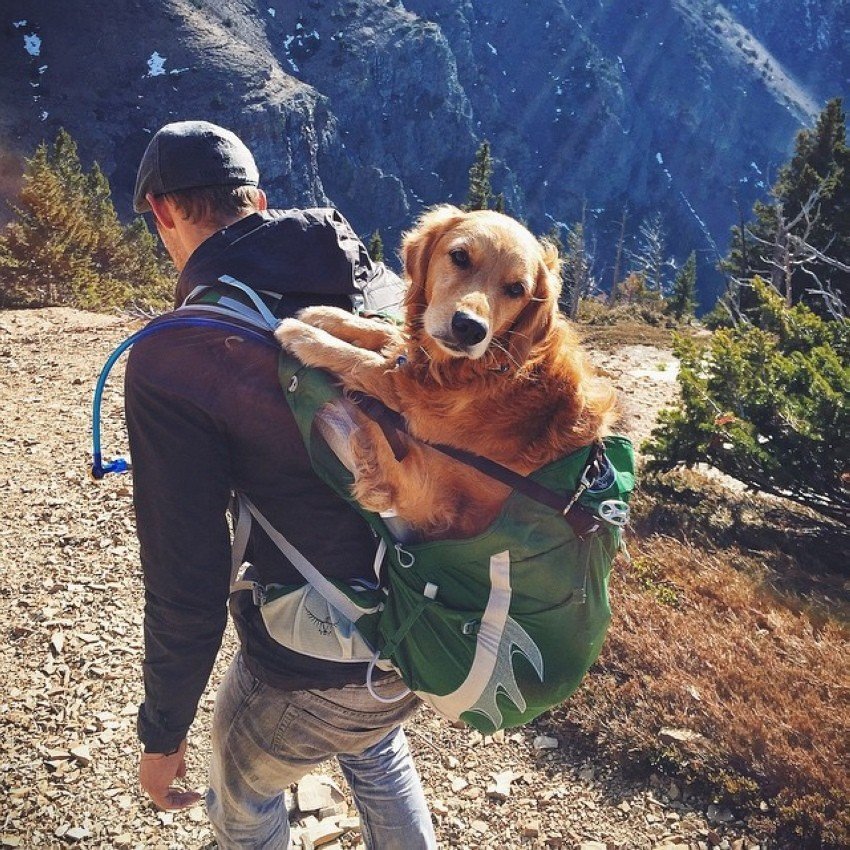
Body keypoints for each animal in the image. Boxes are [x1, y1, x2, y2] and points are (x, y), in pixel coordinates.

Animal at [274, 204, 612, 536]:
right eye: (460, 256)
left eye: (516, 289)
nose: (470, 328)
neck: (487, 370)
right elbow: (385, 334)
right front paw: (325, 315)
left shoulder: (420, 482)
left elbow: (365, 362)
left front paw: (305, 336)